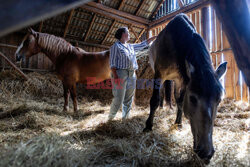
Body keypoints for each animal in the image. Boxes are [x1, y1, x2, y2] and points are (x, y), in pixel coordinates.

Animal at [144, 14, 228, 163]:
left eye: (219, 100)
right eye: (193, 98)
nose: (206, 153)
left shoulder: (182, 79)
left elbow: (180, 102)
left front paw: (178, 123)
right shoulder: (159, 74)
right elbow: (153, 100)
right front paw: (148, 125)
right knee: (160, 94)